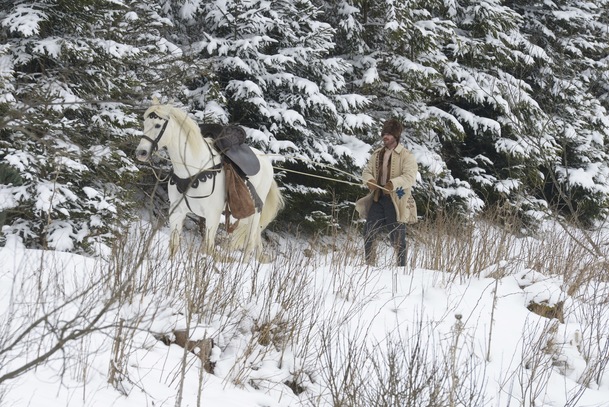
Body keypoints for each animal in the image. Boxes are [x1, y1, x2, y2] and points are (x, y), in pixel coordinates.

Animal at [135, 102, 282, 262]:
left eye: (157, 125)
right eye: (145, 124)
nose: (141, 153)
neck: (193, 170)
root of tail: (266, 162)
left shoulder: (213, 216)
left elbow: (208, 248)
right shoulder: (177, 213)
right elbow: (174, 245)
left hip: (255, 212)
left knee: (250, 243)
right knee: (257, 239)